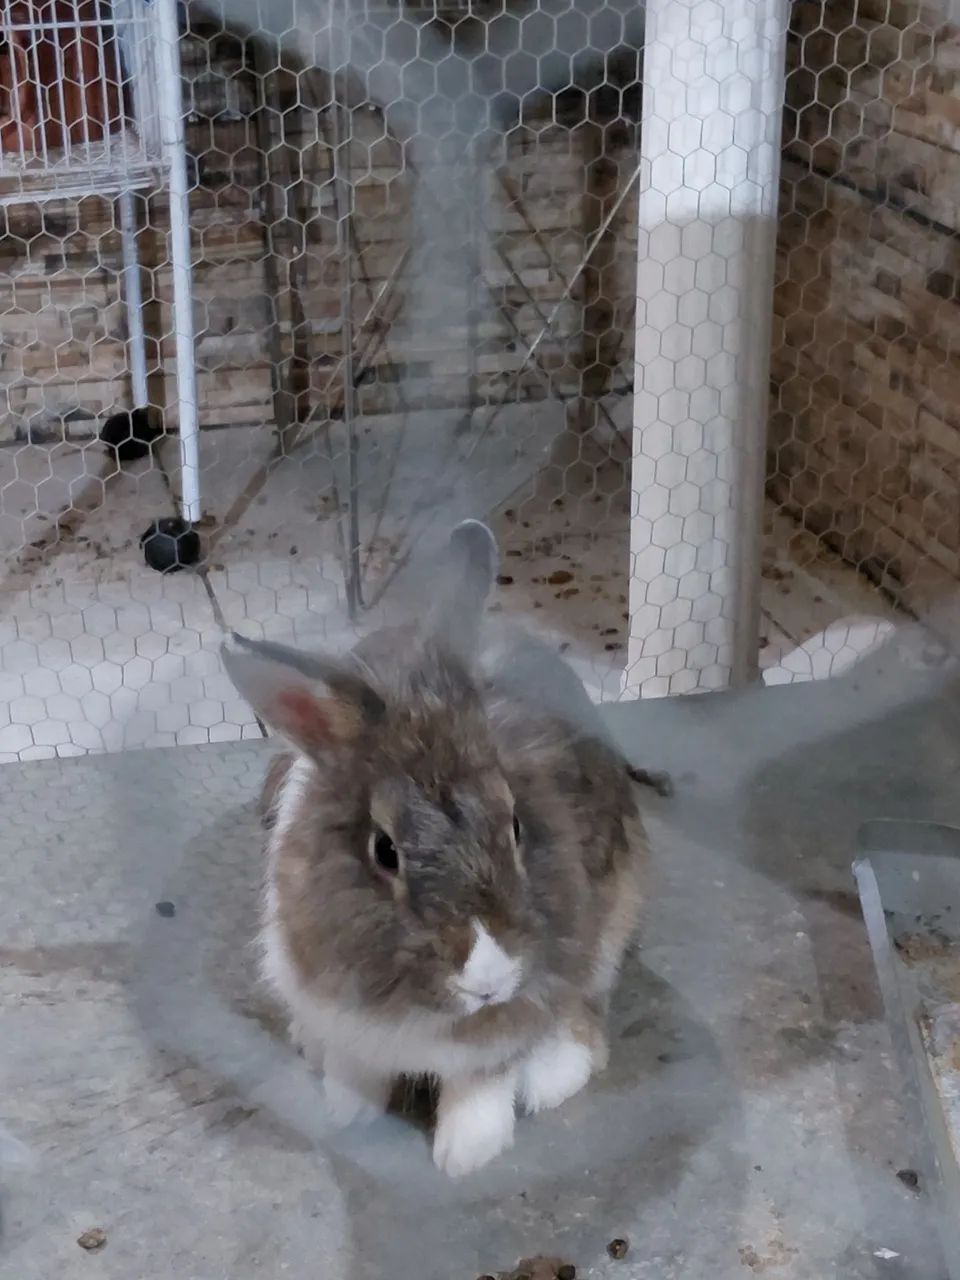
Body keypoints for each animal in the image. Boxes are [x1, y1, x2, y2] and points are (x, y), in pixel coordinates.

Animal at [222, 520, 650, 1177]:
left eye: (516, 825)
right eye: (385, 851)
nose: (488, 980)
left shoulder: (507, 1023)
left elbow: (481, 1084)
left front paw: (466, 1154)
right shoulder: (340, 1012)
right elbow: (354, 1072)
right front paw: (349, 1117)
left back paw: (553, 1075)